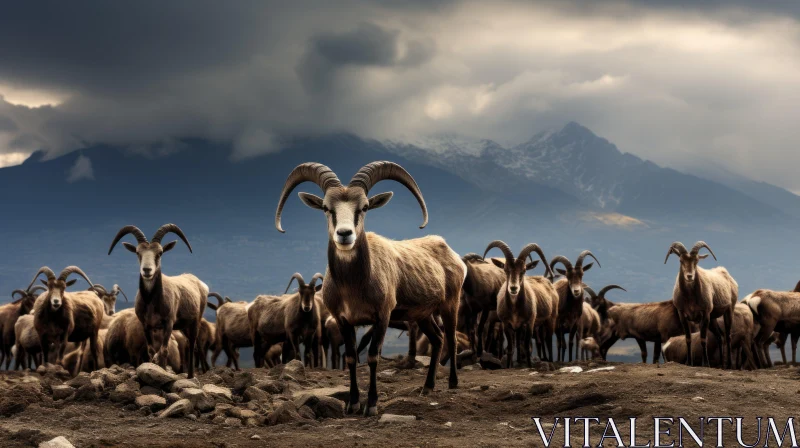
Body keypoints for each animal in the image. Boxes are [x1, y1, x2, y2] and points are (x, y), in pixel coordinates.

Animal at [109, 224, 209, 378]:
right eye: (138, 252)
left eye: (160, 252)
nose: (147, 270)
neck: (151, 302)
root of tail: (200, 284)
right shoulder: (146, 325)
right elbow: (151, 351)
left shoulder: (168, 323)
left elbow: (164, 351)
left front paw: (163, 373)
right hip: (184, 326)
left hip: (195, 321)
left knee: (193, 344)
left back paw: (191, 375)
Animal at [276, 161, 466, 416]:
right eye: (326, 208)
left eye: (364, 207)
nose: (345, 234)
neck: (353, 287)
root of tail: (451, 253)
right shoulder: (343, 319)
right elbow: (351, 357)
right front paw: (353, 403)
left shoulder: (382, 316)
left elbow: (374, 356)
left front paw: (372, 404)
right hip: (423, 314)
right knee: (437, 339)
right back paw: (427, 387)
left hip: (450, 303)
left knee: (451, 338)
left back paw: (453, 383)